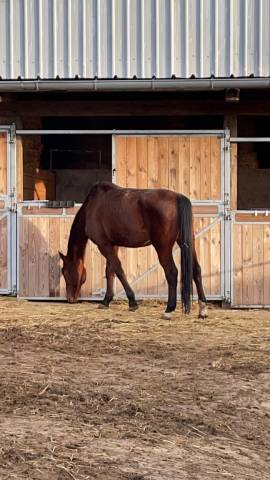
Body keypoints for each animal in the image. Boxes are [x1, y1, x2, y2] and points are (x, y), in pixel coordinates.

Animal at [58, 182, 207, 320]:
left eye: (64, 272)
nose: (70, 299)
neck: (92, 206)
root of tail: (177, 198)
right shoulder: (112, 245)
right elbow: (110, 271)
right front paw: (106, 301)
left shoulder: (103, 245)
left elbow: (118, 270)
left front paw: (132, 302)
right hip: (187, 243)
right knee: (196, 270)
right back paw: (203, 309)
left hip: (163, 247)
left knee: (171, 272)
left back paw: (168, 310)